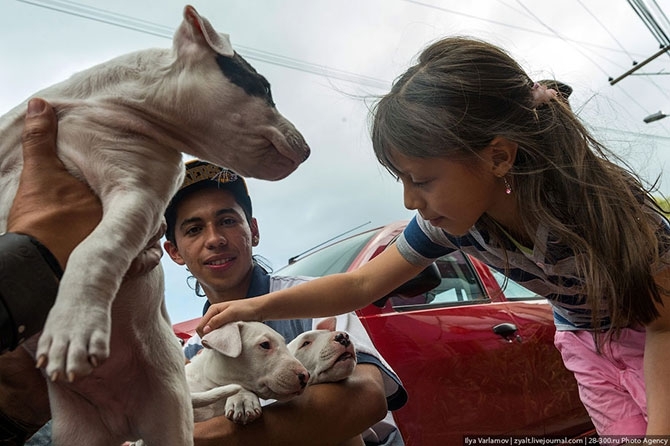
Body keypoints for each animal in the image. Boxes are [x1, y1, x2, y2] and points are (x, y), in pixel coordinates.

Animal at [0, 4, 312, 446]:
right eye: (264, 87)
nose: (307, 150)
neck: (115, 108)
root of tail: (124, 424)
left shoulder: (139, 197)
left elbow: (96, 249)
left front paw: (72, 326)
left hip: (169, 411)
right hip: (78, 431)